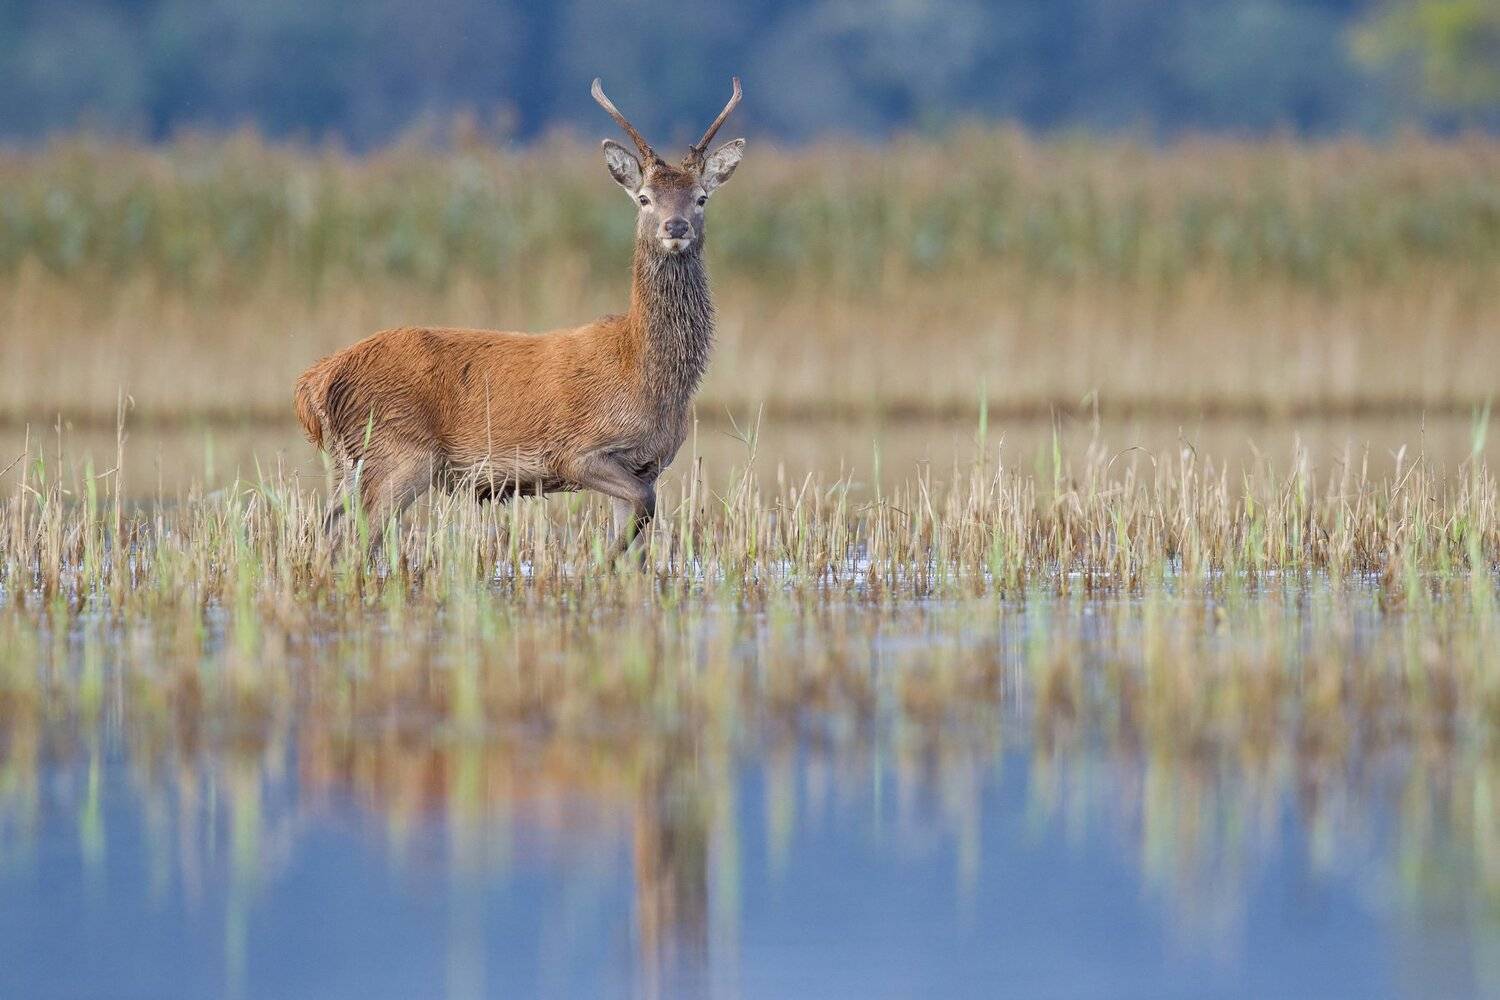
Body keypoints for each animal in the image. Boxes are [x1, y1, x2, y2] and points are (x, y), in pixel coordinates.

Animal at [294, 78, 745, 560]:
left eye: (701, 197)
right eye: (644, 198)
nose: (675, 227)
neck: (645, 372)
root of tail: (315, 381)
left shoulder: (648, 462)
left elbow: (639, 542)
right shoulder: (573, 450)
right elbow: (643, 507)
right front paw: (593, 562)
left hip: (355, 460)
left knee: (326, 528)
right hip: (397, 451)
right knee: (357, 542)